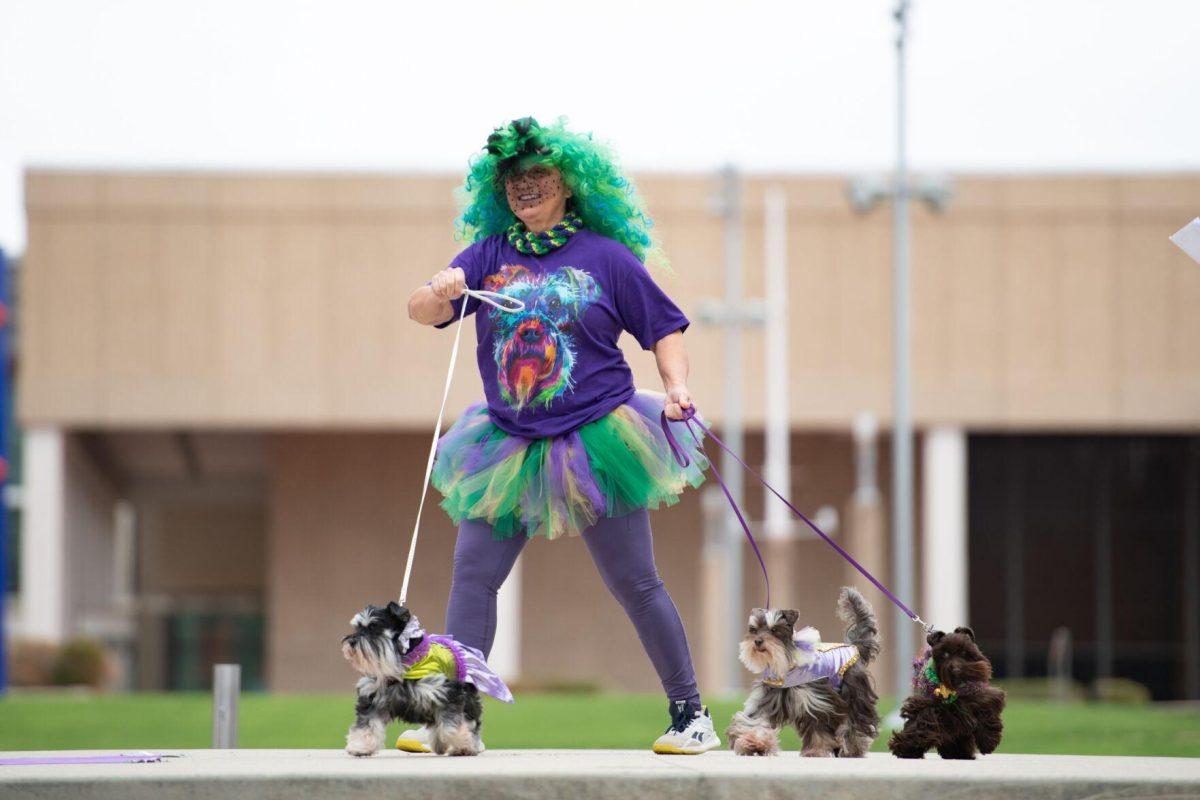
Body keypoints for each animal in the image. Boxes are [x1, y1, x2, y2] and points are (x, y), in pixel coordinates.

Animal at [888, 628, 1008, 762]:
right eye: (945, 654)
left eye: (964, 652)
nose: (957, 670)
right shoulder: (926, 705)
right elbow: (919, 723)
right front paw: (905, 748)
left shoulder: (980, 697)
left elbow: (986, 711)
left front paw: (988, 741)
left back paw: (960, 753)